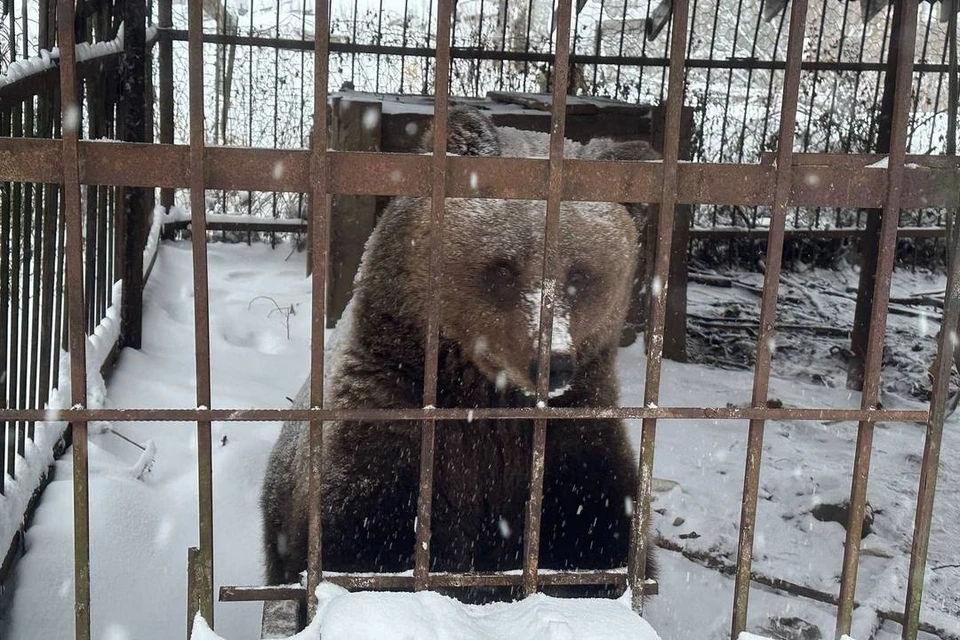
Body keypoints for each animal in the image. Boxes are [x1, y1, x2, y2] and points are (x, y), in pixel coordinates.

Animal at [258, 105, 656, 604]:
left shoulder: (575, 446)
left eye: (581, 275)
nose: (552, 364)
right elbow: (363, 545)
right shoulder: (387, 428)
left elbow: (597, 544)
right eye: (503, 267)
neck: (487, 401)